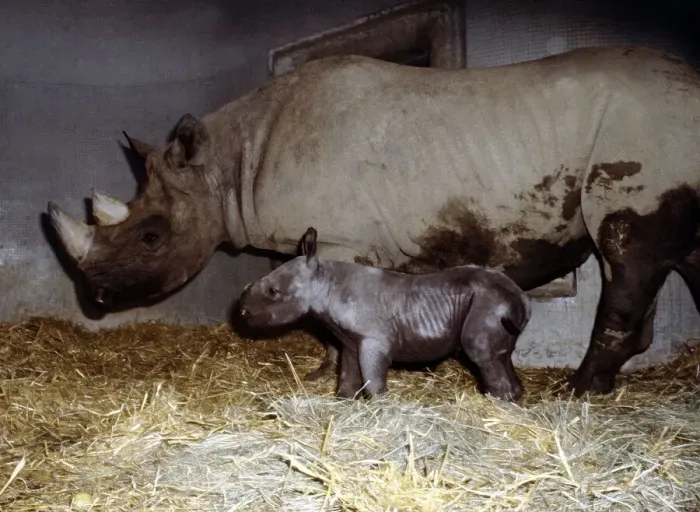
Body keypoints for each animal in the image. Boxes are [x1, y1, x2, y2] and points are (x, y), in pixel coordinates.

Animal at [238, 227, 531, 401]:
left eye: (273, 291)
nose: (242, 311)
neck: (324, 282)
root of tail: (520, 297)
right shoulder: (351, 340)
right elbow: (347, 376)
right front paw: (343, 403)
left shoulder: (373, 340)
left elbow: (373, 382)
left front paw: (379, 408)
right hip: (495, 305)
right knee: (501, 356)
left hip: (488, 304)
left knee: (482, 354)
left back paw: (495, 405)